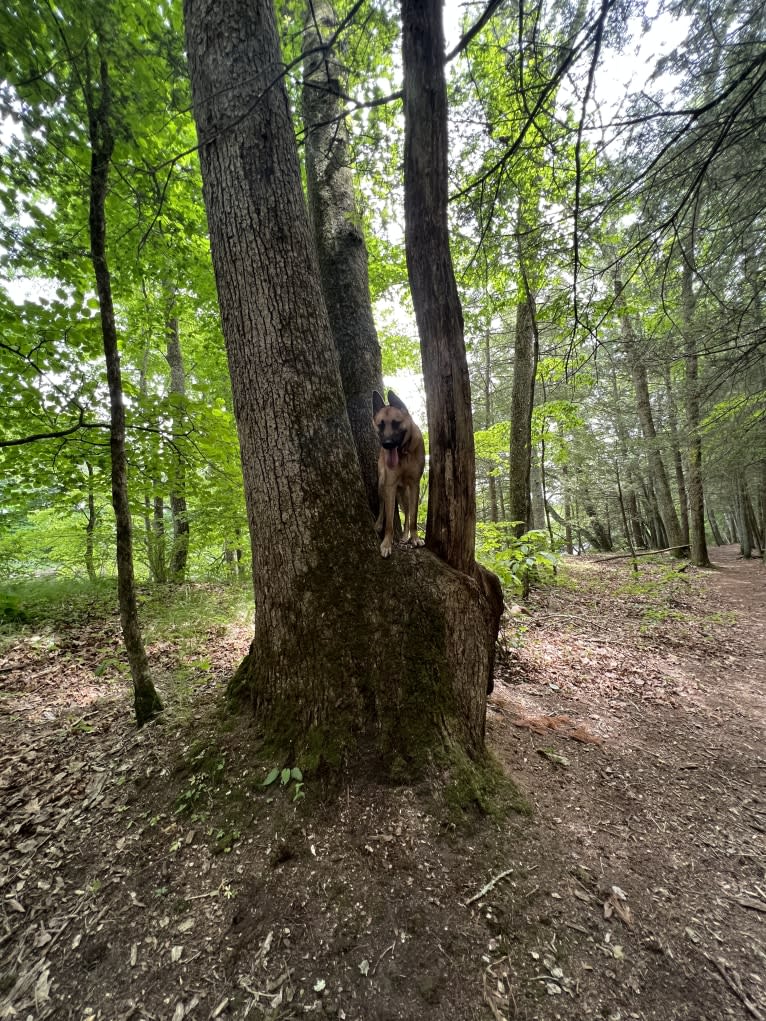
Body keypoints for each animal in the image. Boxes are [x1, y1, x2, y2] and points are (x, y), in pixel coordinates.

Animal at [371, 387, 426, 559]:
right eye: (381, 425)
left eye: (396, 423)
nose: (388, 444)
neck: (403, 453)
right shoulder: (390, 486)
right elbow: (389, 521)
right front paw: (386, 543)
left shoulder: (414, 485)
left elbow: (413, 516)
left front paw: (414, 538)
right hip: (383, 485)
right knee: (383, 505)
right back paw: (378, 524)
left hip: (404, 494)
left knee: (407, 512)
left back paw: (405, 536)